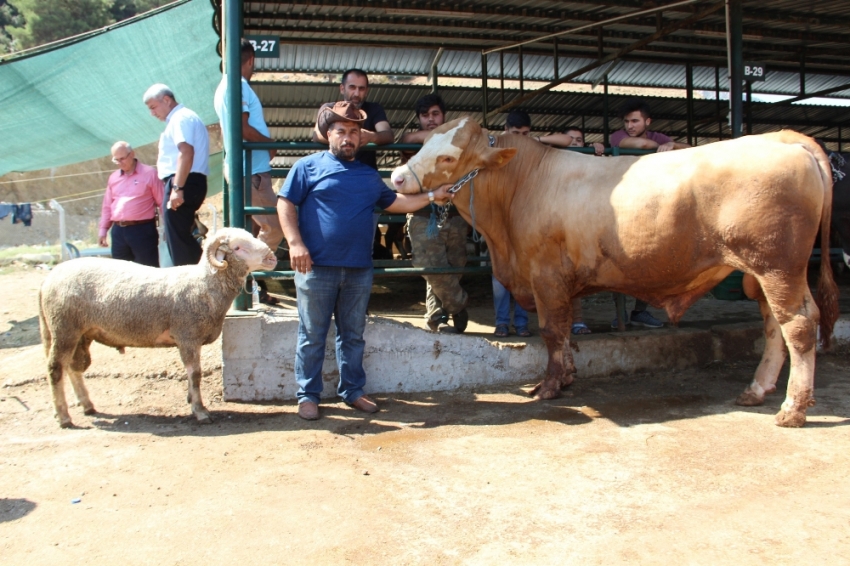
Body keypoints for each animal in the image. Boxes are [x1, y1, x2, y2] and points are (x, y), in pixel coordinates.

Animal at [392, 121, 840, 430]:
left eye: (448, 158)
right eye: (425, 143)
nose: (396, 178)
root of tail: (781, 138)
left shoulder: (545, 275)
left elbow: (552, 331)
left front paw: (549, 388)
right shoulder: (560, 282)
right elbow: (565, 333)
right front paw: (568, 377)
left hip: (777, 266)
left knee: (799, 325)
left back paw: (792, 409)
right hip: (764, 273)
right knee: (774, 326)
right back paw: (756, 390)